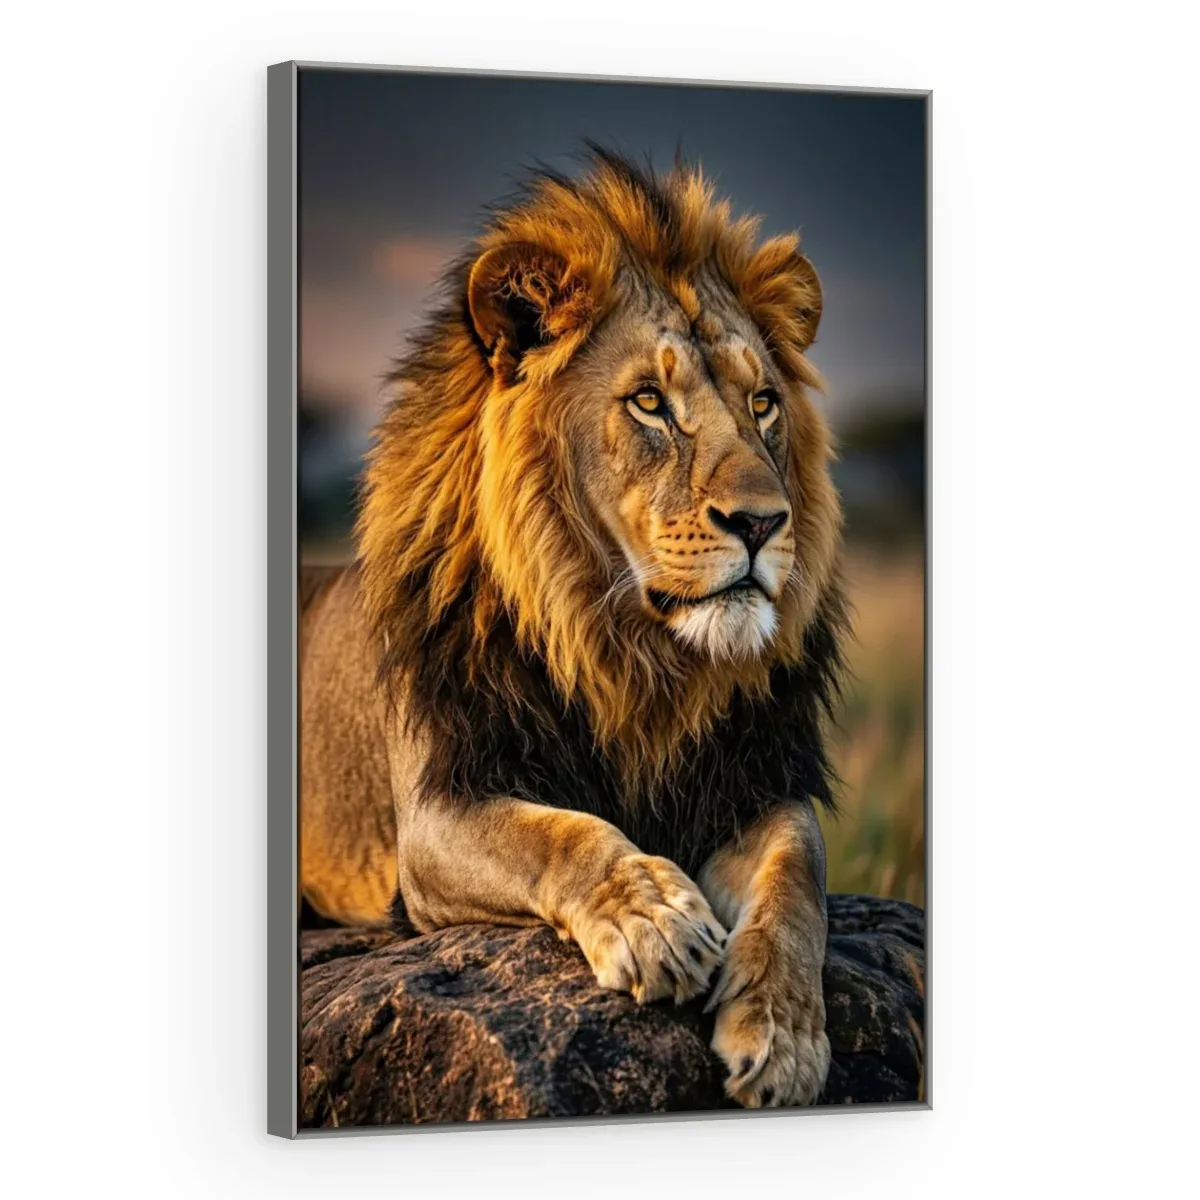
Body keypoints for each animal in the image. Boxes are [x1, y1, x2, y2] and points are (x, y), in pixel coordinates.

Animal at [300, 149, 846, 1109]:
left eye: (764, 404)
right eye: (650, 403)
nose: (762, 522)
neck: (632, 655)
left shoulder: (756, 779)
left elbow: (796, 882)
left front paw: (782, 1037)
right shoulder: (437, 813)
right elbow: (560, 834)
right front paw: (656, 920)